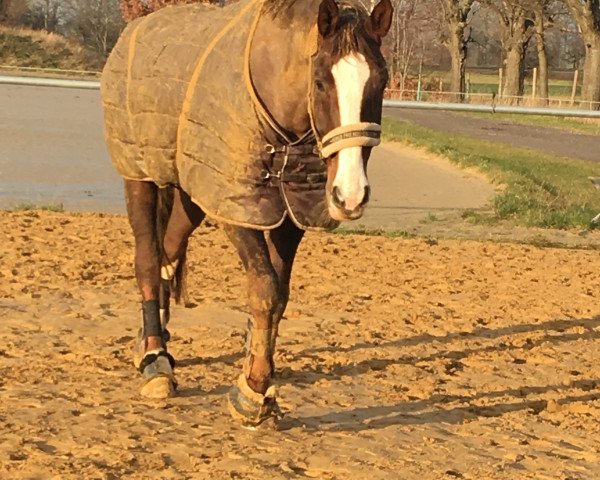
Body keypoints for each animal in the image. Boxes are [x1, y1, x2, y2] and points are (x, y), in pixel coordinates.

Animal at [102, 0, 394, 428]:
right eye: (320, 82)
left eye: (382, 82)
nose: (350, 195)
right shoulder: (238, 210)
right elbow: (264, 289)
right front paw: (252, 392)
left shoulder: (290, 216)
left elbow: (280, 297)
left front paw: (259, 370)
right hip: (139, 176)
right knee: (148, 259)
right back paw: (155, 358)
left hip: (194, 191)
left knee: (169, 251)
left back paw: (153, 341)